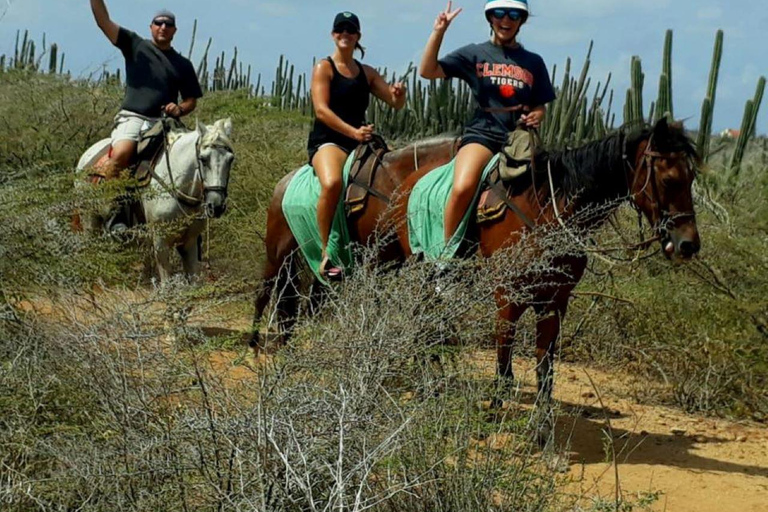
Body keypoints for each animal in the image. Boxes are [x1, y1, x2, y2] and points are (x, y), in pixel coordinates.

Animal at [78, 118, 236, 282]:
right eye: (203, 159)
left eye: (231, 159)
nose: (216, 205)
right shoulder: (161, 243)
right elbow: (167, 282)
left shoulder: (189, 242)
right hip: (89, 221)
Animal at [254, 119, 704, 444]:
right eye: (668, 179)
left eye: (692, 179)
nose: (688, 244)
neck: (548, 209)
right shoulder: (507, 296)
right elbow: (504, 362)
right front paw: (494, 412)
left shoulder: (555, 301)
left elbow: (545, 369)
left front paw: (541, 429)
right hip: (291, 252)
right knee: (270, 293)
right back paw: (260, 342)